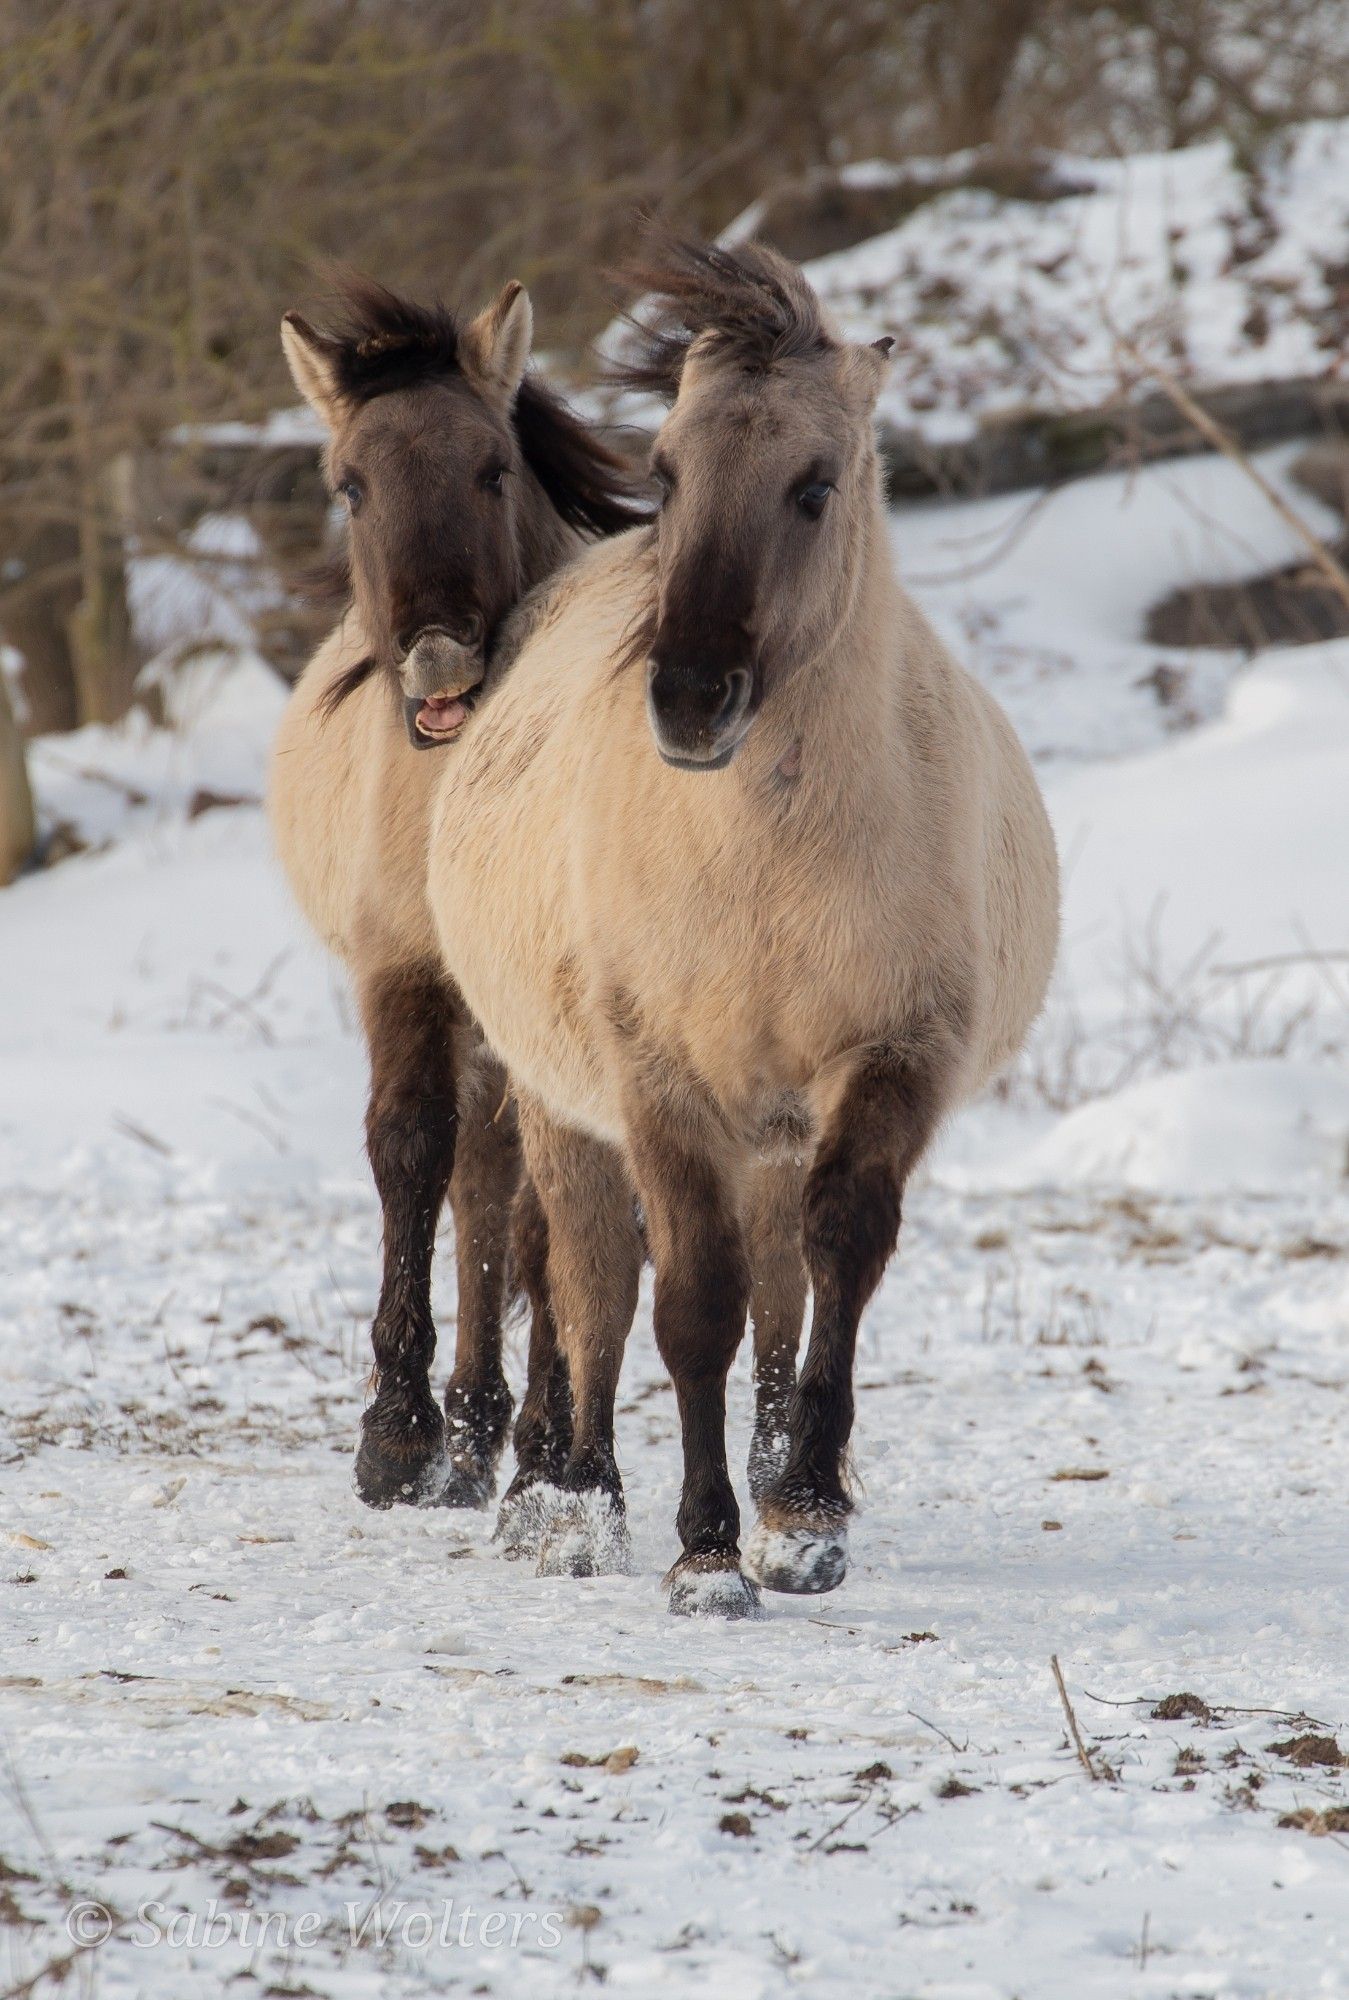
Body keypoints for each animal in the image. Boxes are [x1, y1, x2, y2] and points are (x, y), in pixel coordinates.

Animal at [426, 238, 1056, 1608]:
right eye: (664, 474)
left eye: (814, 486)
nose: (688, 698)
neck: (765, 862)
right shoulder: (657, 1085)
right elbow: (688, 1301)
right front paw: (705, 1548)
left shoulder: (889, 1062)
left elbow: (835, 1258)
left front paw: (801, 1509)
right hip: (560, 1101)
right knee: (593, 1276)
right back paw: (574, 1499)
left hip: (767, 1126)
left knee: (775, 1279)